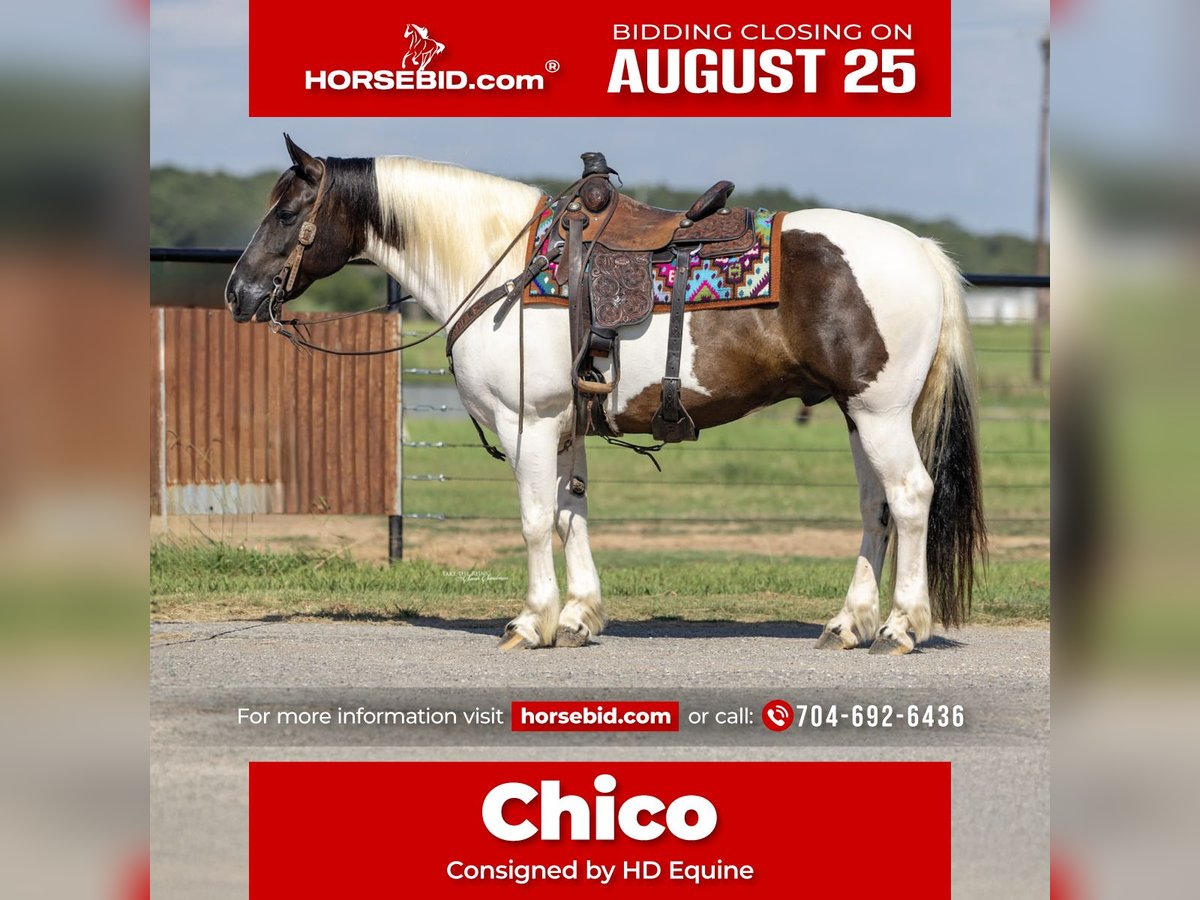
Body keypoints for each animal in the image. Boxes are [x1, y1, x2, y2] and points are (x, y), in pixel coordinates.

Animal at [225, 135, 987, 655]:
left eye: (288, 211)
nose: (238, 293)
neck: (501, 267)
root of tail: (920, 251)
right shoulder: (565, 426)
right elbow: (572, 515)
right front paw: (577, 616)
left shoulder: (527, 424)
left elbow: (537, 522)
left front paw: (531, 621)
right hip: (858, 415)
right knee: (875, 508)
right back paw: (849, 623)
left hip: (881, 414)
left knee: (910, 497)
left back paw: (901, 626)